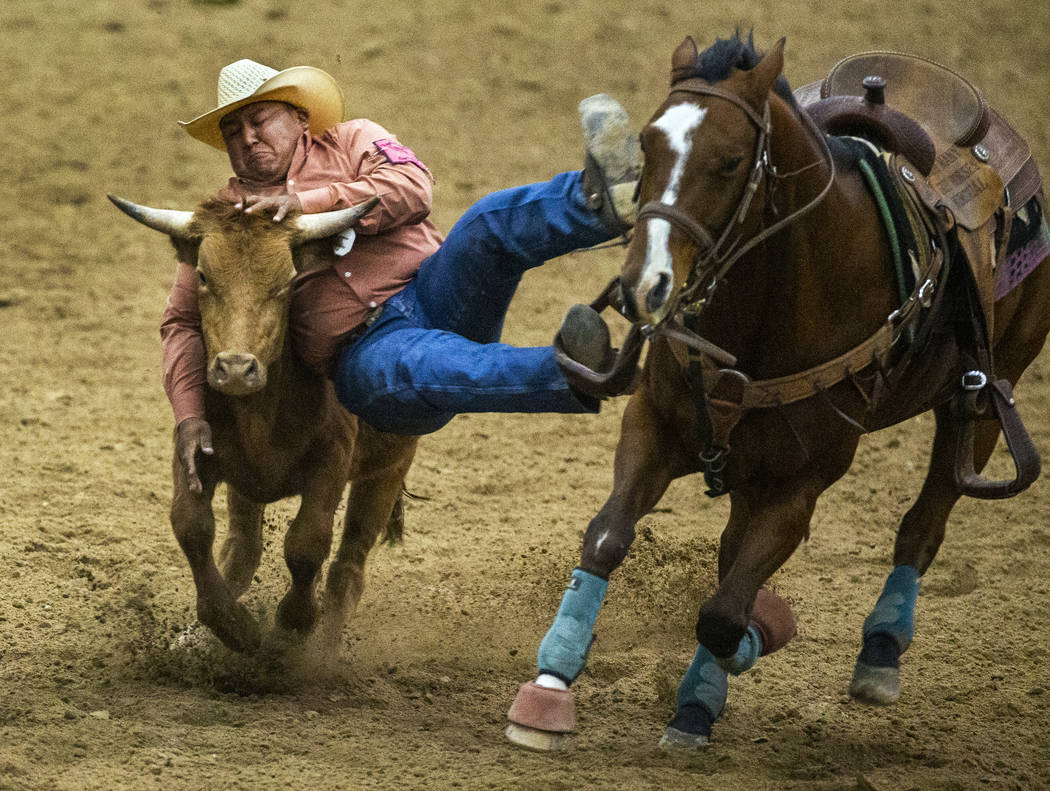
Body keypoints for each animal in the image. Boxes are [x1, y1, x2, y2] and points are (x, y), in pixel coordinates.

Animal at [503, 29, 1045, 747]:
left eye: (731, 161)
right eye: (646, 145)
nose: (643, 285)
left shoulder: (800, 484)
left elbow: (724, 611)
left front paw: (720, 676)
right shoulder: (655, 423)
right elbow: (608, 538)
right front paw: (550, 686)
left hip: (983, 398)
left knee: (922, 525)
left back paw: (879, 652)